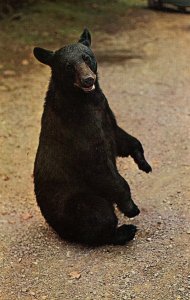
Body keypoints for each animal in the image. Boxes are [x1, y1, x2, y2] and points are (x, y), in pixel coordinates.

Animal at [32, 28, 151, 246]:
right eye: (68, 66)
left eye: (87, 57)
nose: (88, 79)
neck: (87, 101)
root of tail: (56, 227)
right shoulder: (79, 130)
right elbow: (100, 166)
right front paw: (131, 208)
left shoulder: (105, 113)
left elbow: (121, 138)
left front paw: (144, 163)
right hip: (76, 200)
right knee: (96, 213)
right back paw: (124, 231)